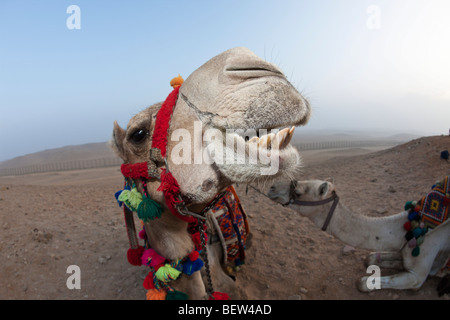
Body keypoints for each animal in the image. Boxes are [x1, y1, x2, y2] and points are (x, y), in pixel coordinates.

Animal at [268, 179, 448, 292]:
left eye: (298, 193)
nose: (272, 187)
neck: (403, 228)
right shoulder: (402, 249)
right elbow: (371, 258)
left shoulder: (419, 273)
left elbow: (362, 282)